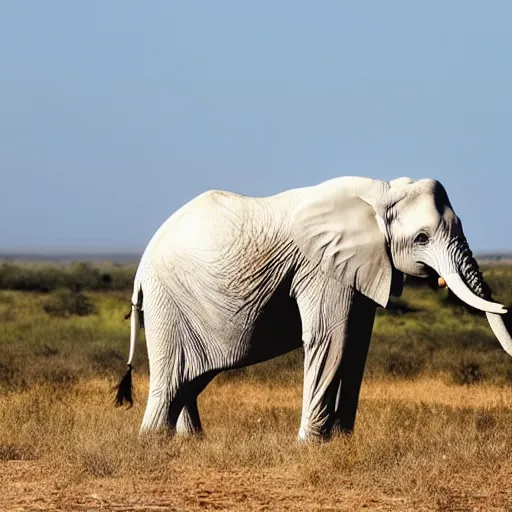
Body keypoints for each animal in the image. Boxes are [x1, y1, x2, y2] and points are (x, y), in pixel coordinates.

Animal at [114, 175, 510, 440]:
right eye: (422, 238)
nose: (505, 306)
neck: (382, 193)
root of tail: (141, 266)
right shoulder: (321, 268)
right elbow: (331, 338)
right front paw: (311, 445)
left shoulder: (361, 266)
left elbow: (357, 345)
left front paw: (343, 441)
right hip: (168, 299)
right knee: (172, 376)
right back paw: (154, 443)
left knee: (190, 377)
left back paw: (192, 442)